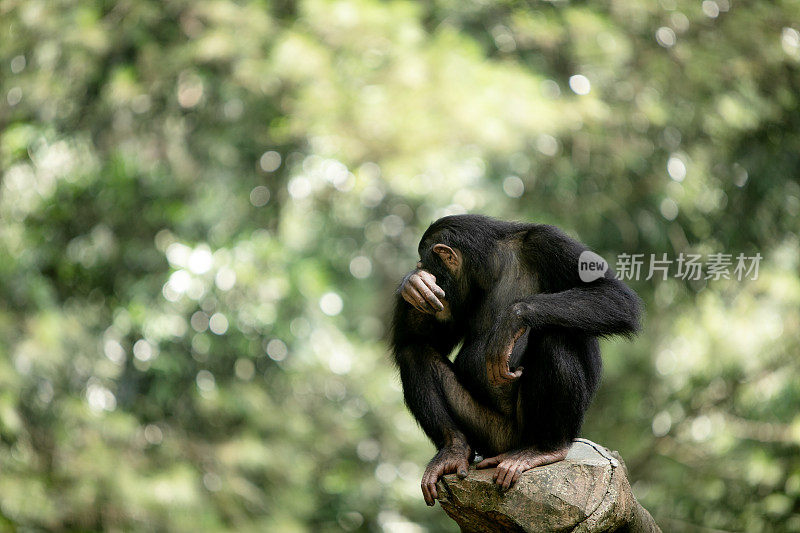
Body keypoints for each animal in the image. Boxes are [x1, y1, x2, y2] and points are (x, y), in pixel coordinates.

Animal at [390, 214, 640, 504]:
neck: (493, 266)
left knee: (554, 334)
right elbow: (426, 339)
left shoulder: (549, 241)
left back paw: (546, 449)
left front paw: (513, 318)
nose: (418, 268)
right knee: (413, 352)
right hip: (489, 434)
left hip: (533, 430)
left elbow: (615, 295)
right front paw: (414, 284)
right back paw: (453, 449)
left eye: (425, 262)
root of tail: (506, 449)